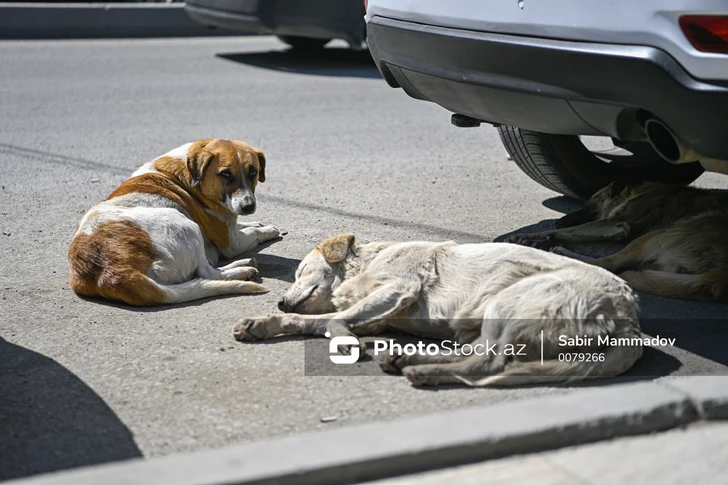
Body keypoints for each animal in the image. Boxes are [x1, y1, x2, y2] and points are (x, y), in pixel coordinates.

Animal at [68, 138, 280, 304]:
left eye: (253, 172)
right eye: (225, 174)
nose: (248, 206)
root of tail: (114, 270)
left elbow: (243, 226)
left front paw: (255, 223)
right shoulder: (232, 244)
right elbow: (251, 233)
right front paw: (266, 230)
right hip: (188, 226)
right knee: (208, 273)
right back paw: (242, 268)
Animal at [230, 233, 640, 388]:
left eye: (299, 271)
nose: (280, 300)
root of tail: (630, 320)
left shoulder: (399, 287)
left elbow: (328, 320)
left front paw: (341, 336)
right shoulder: (380, 309)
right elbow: (317, 319)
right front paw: (265, 322)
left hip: (509, 300)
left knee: (487, 363)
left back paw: (421, 370)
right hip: (485, 320)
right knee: (475, 355)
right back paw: (407, 359)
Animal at [510, 182, 728, 302]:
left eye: (589, 203)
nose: (559, 219)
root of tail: (720, 276)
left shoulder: (617, 225)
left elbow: (564, 232)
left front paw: (533, 237)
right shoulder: (614, 234)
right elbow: (574, 237)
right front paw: (538, 241)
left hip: (657, 236)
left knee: (610, 264)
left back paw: (563, 254)